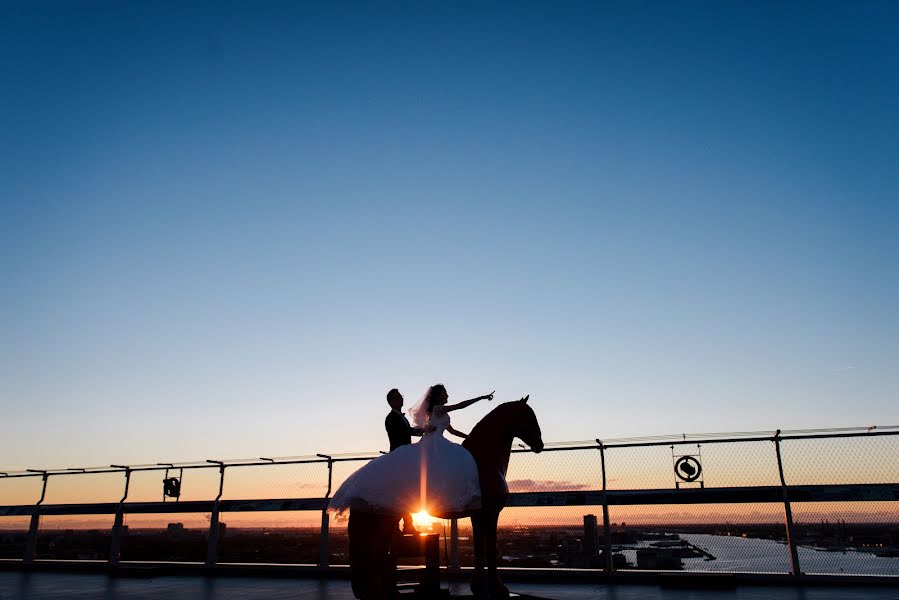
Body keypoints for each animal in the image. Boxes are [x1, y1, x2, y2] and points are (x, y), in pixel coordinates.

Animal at [346, 396, 540, 596]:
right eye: (527, 415)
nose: (539, 445)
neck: (484, 461)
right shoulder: (490, 512)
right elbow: (491, 548)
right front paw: (498, 587)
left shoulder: (478, 514)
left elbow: (479, 547)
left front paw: (479, 585)